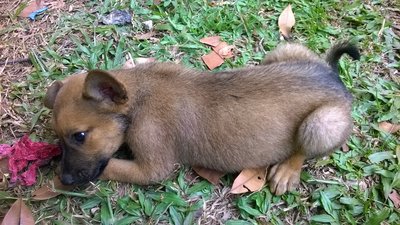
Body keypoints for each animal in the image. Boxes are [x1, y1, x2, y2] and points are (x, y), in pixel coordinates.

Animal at [43, 40, 360, 195]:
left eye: (80, 136)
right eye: (58, 137)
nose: (67, 177)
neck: (139, 97)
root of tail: (333, 77)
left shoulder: (152, 166)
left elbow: (109, 167)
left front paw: (55, 183)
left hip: (322, 122)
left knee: (303, 149)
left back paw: (287, 170)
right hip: (282, 52)